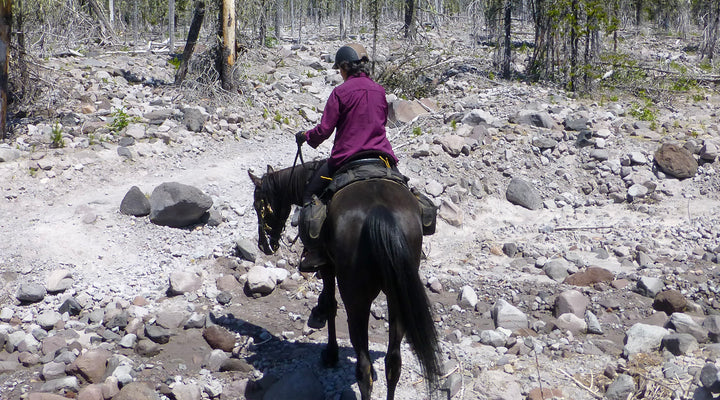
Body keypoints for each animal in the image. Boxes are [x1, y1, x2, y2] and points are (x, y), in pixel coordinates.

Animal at [248, 161, 441, 400]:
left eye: (258, 205)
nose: (264, 245)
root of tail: (380, 212)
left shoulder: (328, 267)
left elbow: (331, 305)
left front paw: (331, 353)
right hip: (398, 296)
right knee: (393, 362)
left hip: (355, 298)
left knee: (364, 369)